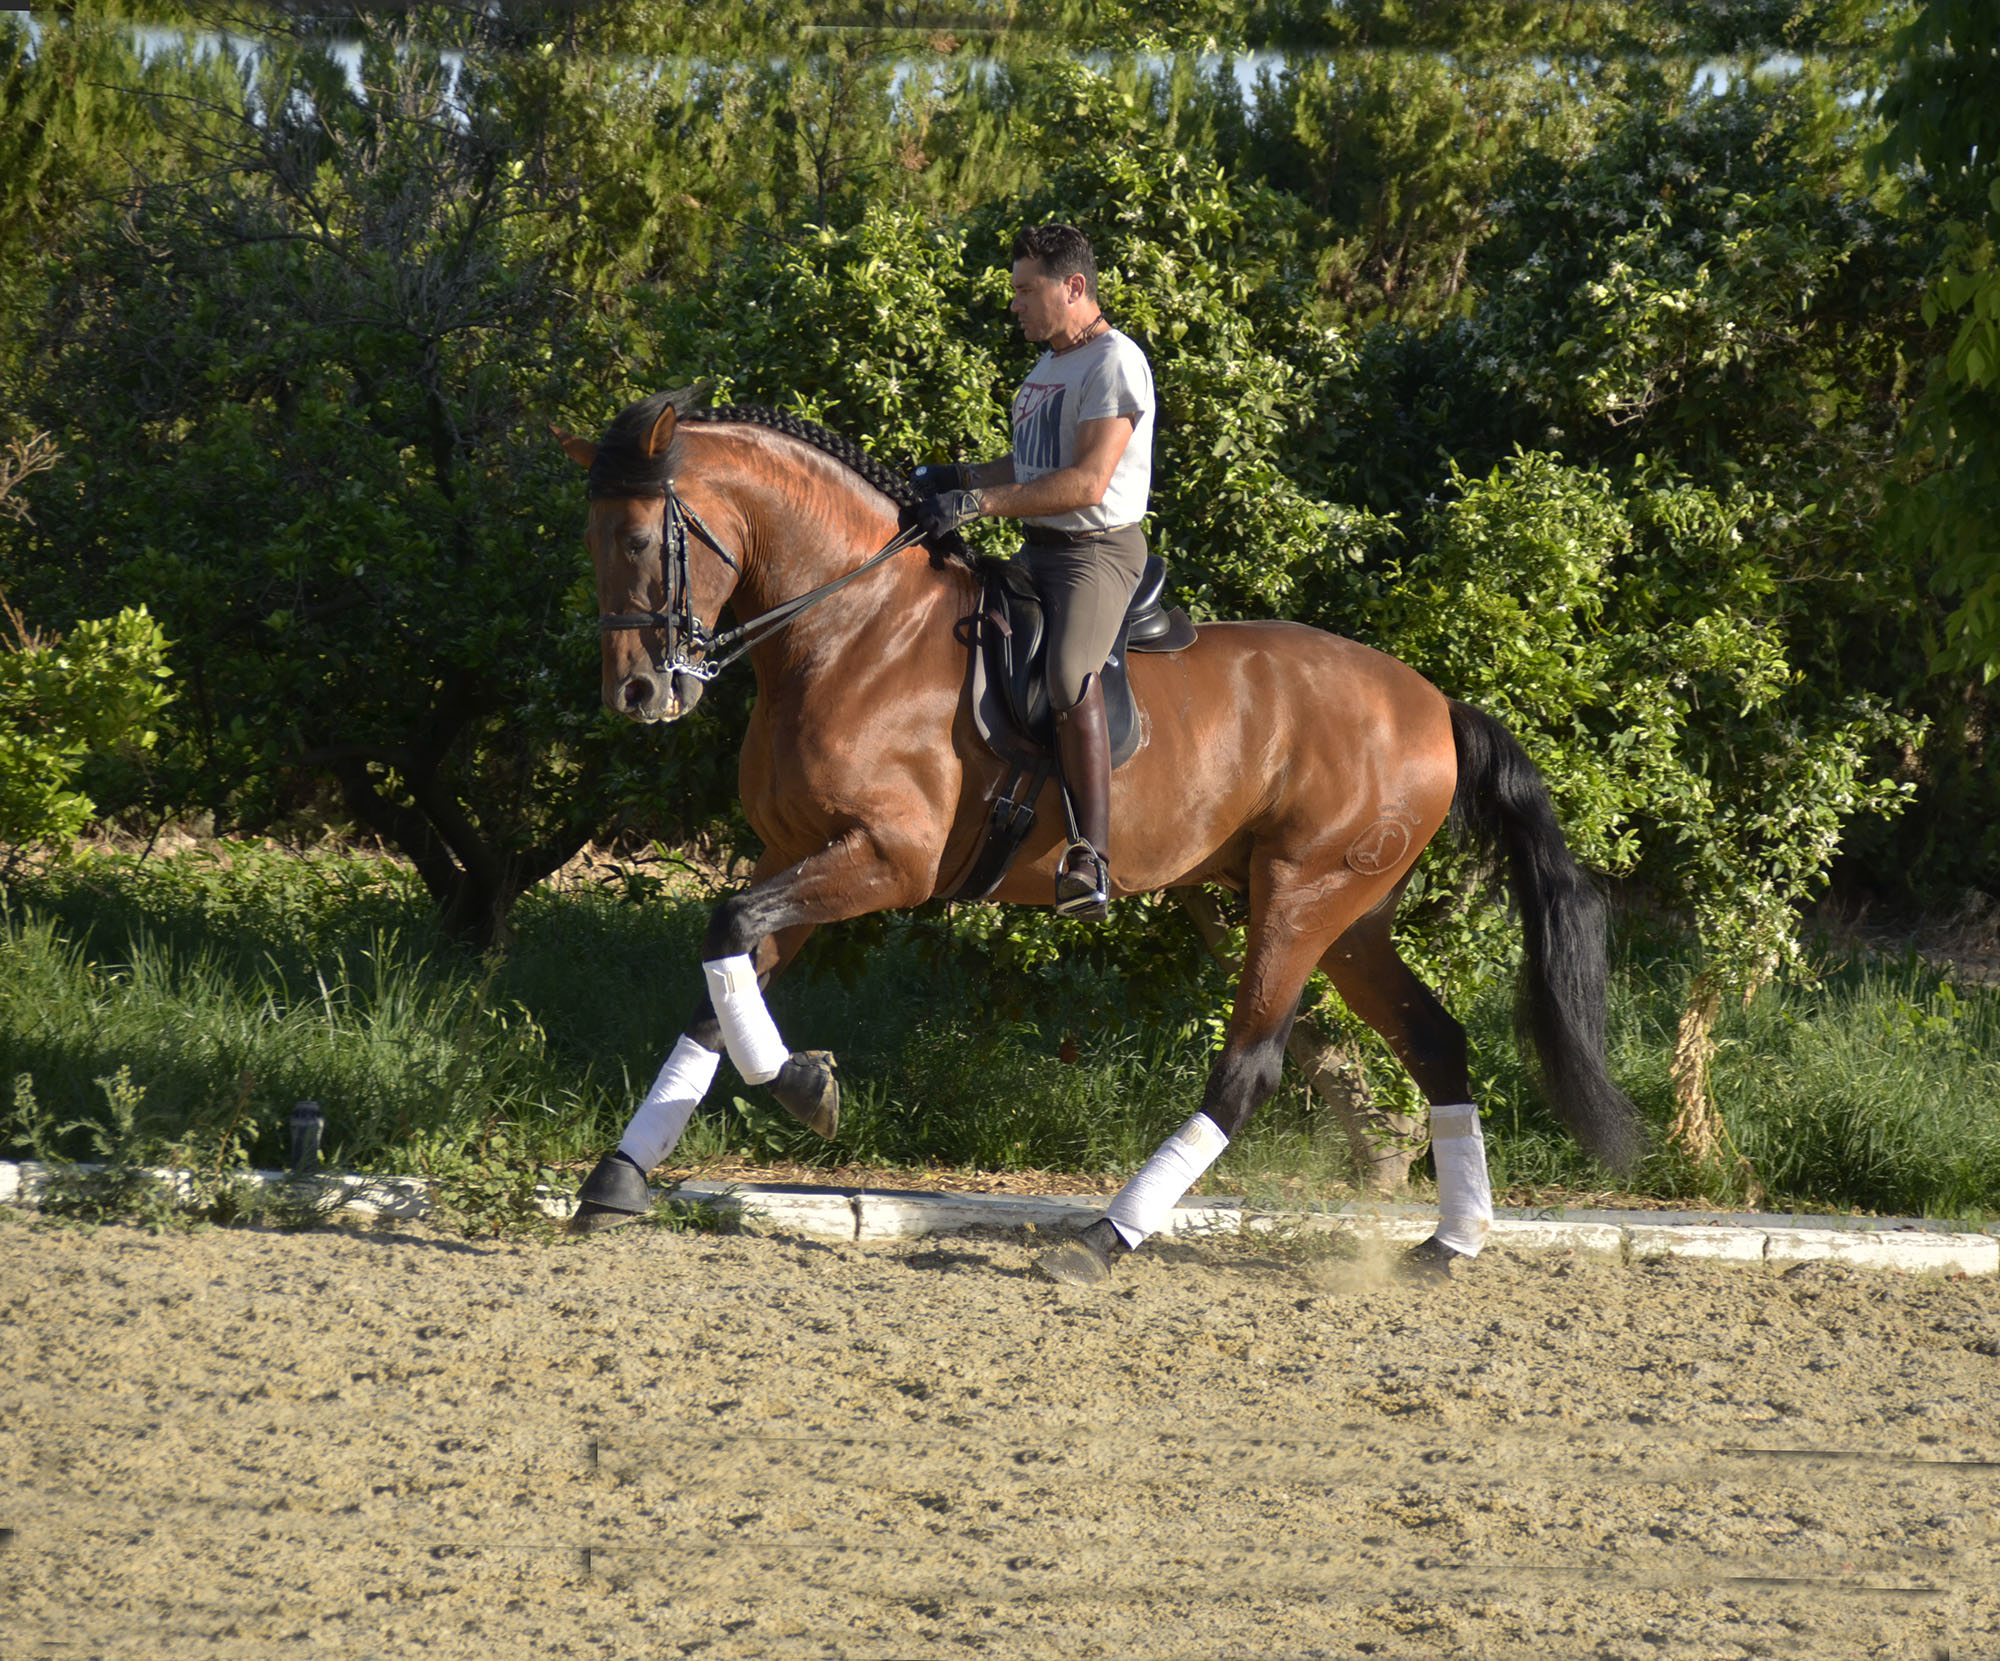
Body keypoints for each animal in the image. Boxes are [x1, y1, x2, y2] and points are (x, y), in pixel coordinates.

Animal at [552, 390, 1640, 1288]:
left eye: (644, 539)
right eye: (592, 540)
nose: (637, 693)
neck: (851, 629)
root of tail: (1432, 705)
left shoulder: (885, 859)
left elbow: (727, 930)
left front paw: (803, 1084)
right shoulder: (798, 851)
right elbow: (719, 977)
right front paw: (618, 1178)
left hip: (1300, 896)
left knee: (1248, 1069)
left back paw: (1103, 1238)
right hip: (1351, 914)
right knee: (1437, 1042)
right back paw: (1448, 1243)